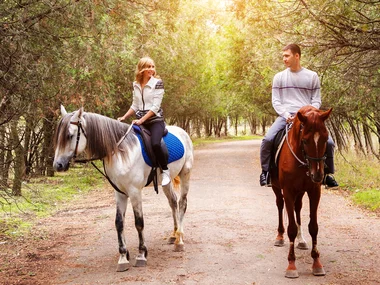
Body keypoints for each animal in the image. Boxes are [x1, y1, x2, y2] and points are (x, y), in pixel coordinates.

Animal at [270, 105, 332, 276]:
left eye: (326, 139)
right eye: (304, 140)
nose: (317, 175)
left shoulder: (314, 192)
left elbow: (314, 227)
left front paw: (317, 263)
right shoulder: (288, 191)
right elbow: (290, 228)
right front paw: (291, 265)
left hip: (301, 192)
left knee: (297, 208)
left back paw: (301, 240)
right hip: (277, 188)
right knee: (280, 205)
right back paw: (279, 237)